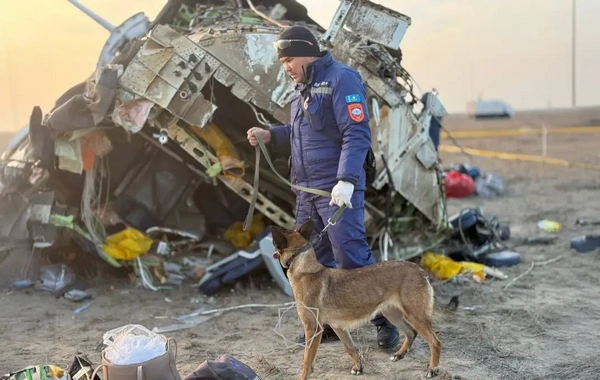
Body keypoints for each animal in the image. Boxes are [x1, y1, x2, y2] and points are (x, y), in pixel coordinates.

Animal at [270, 220, 452, 380]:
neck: (305, 268)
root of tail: (419, 270)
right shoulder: (338, 327)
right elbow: (350, 348)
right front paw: (358, 367)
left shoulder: (312, 329)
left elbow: (307, 359)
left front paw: (303, 376)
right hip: (392, 314)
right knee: (411, 332)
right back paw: (400, 354)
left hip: (416, 316)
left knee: (435, 342)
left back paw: (432, 369)